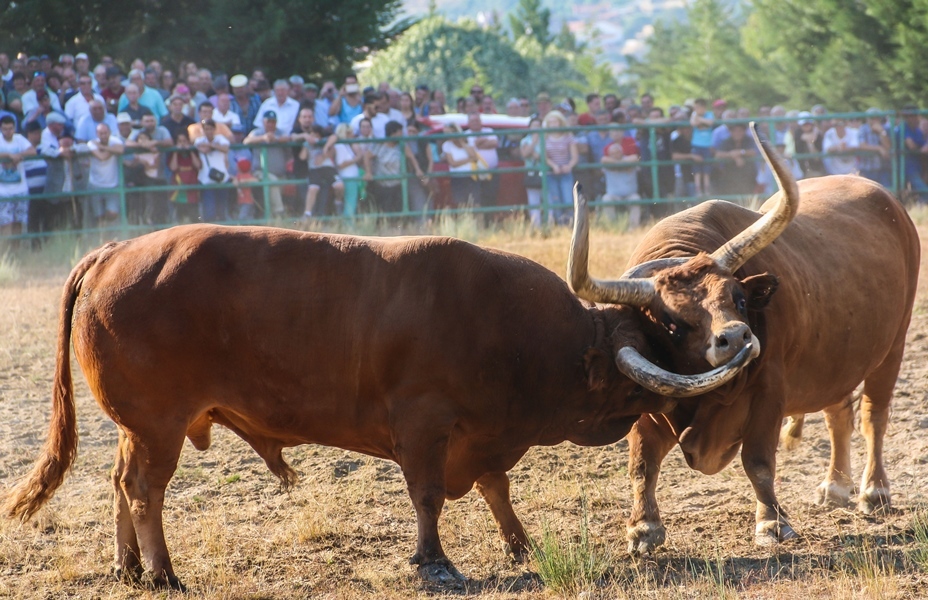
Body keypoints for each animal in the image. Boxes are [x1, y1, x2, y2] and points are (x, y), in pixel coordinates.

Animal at [3, 225, 752, 592]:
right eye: (672, 325)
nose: (736, 342)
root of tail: (116, 251)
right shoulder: (424, 424)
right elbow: (427, 494)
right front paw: (434, 562)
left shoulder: (483, 435)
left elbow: (496, 486)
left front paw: (520, 543)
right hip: (158, 424)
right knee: (143, 489)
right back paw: (162, 573)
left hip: (138, 426)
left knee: (119, 485)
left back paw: (129, 568)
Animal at [568, 129, 916, 552]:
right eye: (671, 323)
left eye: (738, 298)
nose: (736, 336)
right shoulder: (644, 399)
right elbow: (641, 463)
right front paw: (642, 527)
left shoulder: (769, 392)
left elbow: (759, 461)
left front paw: (772, 522)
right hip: (838, 362)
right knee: (838, 417)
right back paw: (835, 486)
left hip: (893, 347)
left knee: (873, 417)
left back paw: (874, 491)